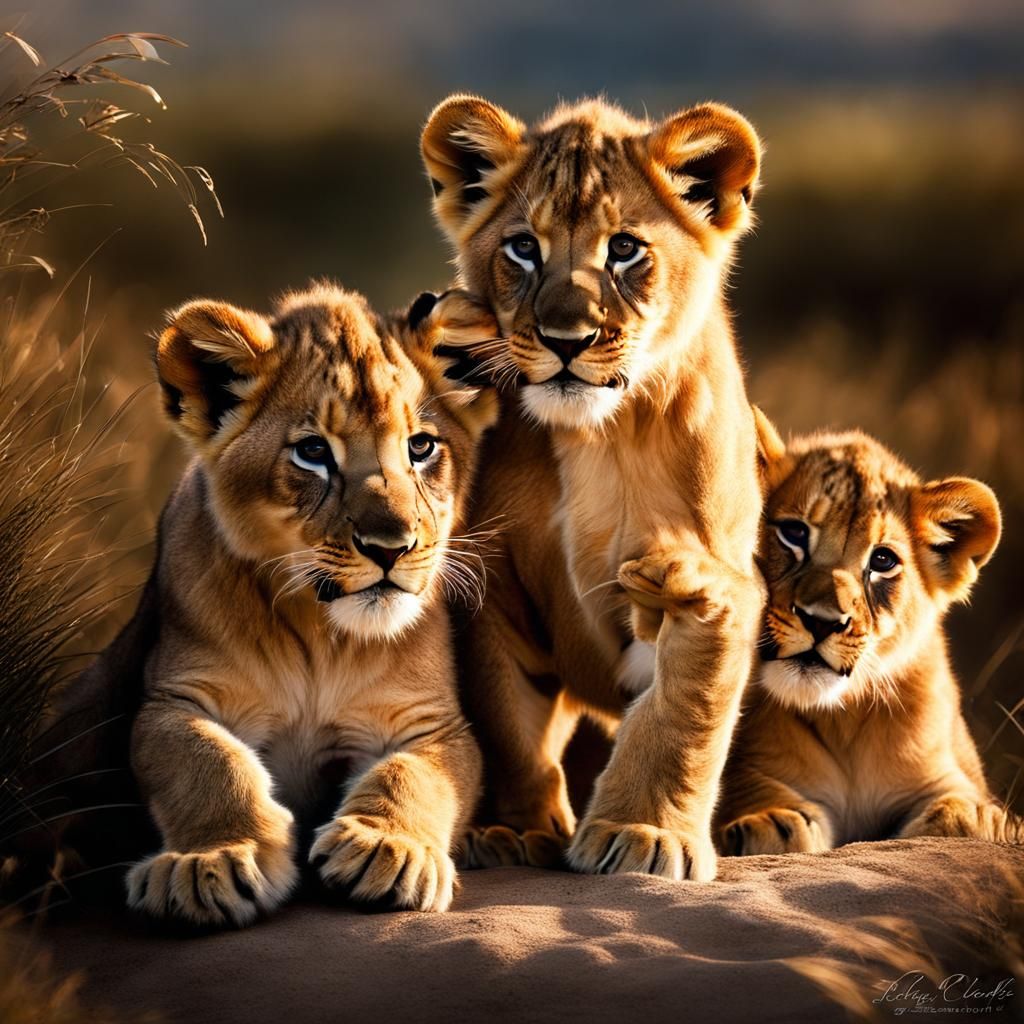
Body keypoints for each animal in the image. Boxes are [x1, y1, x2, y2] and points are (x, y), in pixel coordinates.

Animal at [119, 284, 498, 926]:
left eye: (421, 446)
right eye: (313, 452)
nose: (391, 548)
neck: (321, 637)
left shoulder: (434, 722)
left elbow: (416, 775)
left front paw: (387, 849)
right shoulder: (174, 699)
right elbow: (206, 762)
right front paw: (211, 862)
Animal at [420, 95, 766, 879]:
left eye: (626, 250)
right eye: (523, 248)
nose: (566, 340)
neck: (596, 437)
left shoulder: (716, 579)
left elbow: (683, 715)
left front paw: (645, 834)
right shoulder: (492, 591)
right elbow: (510, 728)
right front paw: (517, 831)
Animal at [718, 425, 1023, 854]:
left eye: (882, 561)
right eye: (793, 533)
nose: (822, 621)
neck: (843, 721)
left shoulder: (947, 773)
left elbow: (965, 809)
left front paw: (974, 818)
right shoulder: (748, 767)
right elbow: (751, 794)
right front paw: (770, 821)